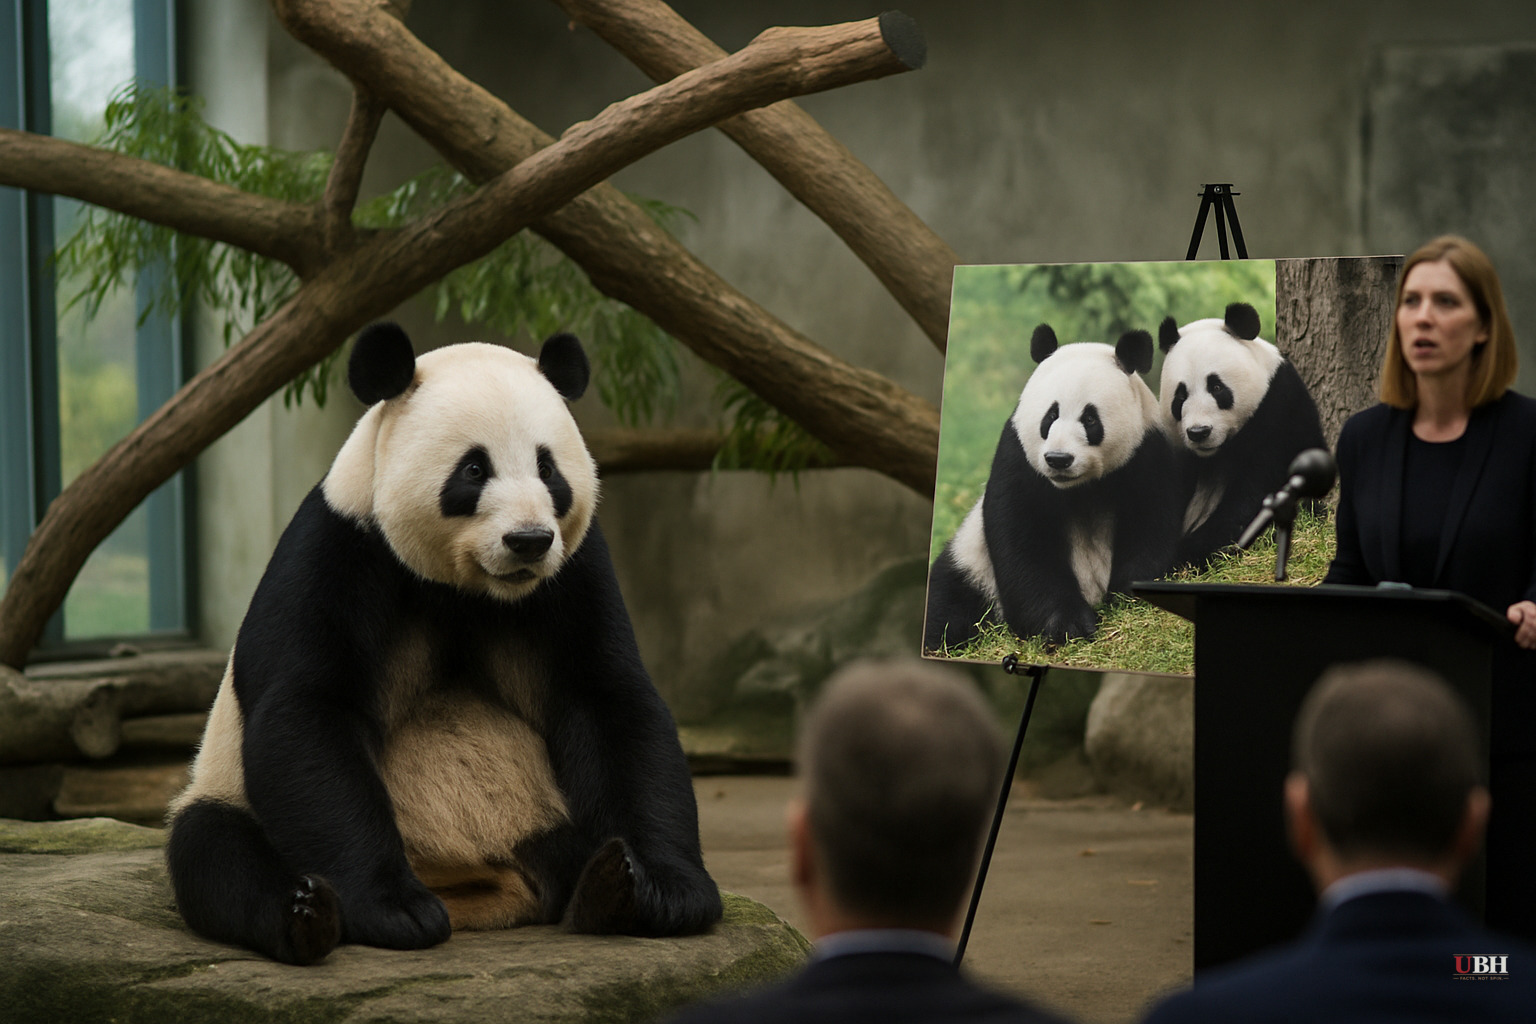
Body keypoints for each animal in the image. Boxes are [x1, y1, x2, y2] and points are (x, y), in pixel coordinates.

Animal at [165, 323, 722, 965]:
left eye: (548, 469)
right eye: (474, 469)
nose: (529, 540)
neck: (469, 588)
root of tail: (479, 887)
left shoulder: (575, 570)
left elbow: (610, 702)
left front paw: (666, 888)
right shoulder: (341, 548)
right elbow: (304, 712)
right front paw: (393, 909)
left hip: (537, 812)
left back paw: (607, 887)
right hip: (225, 791)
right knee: (212, 851)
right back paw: (305, 913)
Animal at [923, 325, 1180, 652]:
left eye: (1090, 418)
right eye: (1050, 416)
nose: (1058, 459)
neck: (1081, 487)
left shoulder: (1147, 453)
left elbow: (1150, 527)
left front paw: (1126, 598)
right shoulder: (1019, 458)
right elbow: (1024, 543)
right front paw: (1067, 625)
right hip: (972, 568)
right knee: (946, 606)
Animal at [1158, 302, 1326, 567]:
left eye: (1216, 387)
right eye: (1181, 396)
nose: (1199, 432)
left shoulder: (1277, 412)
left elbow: (1252, 496)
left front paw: (1189, 554)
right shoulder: (1178, 451)